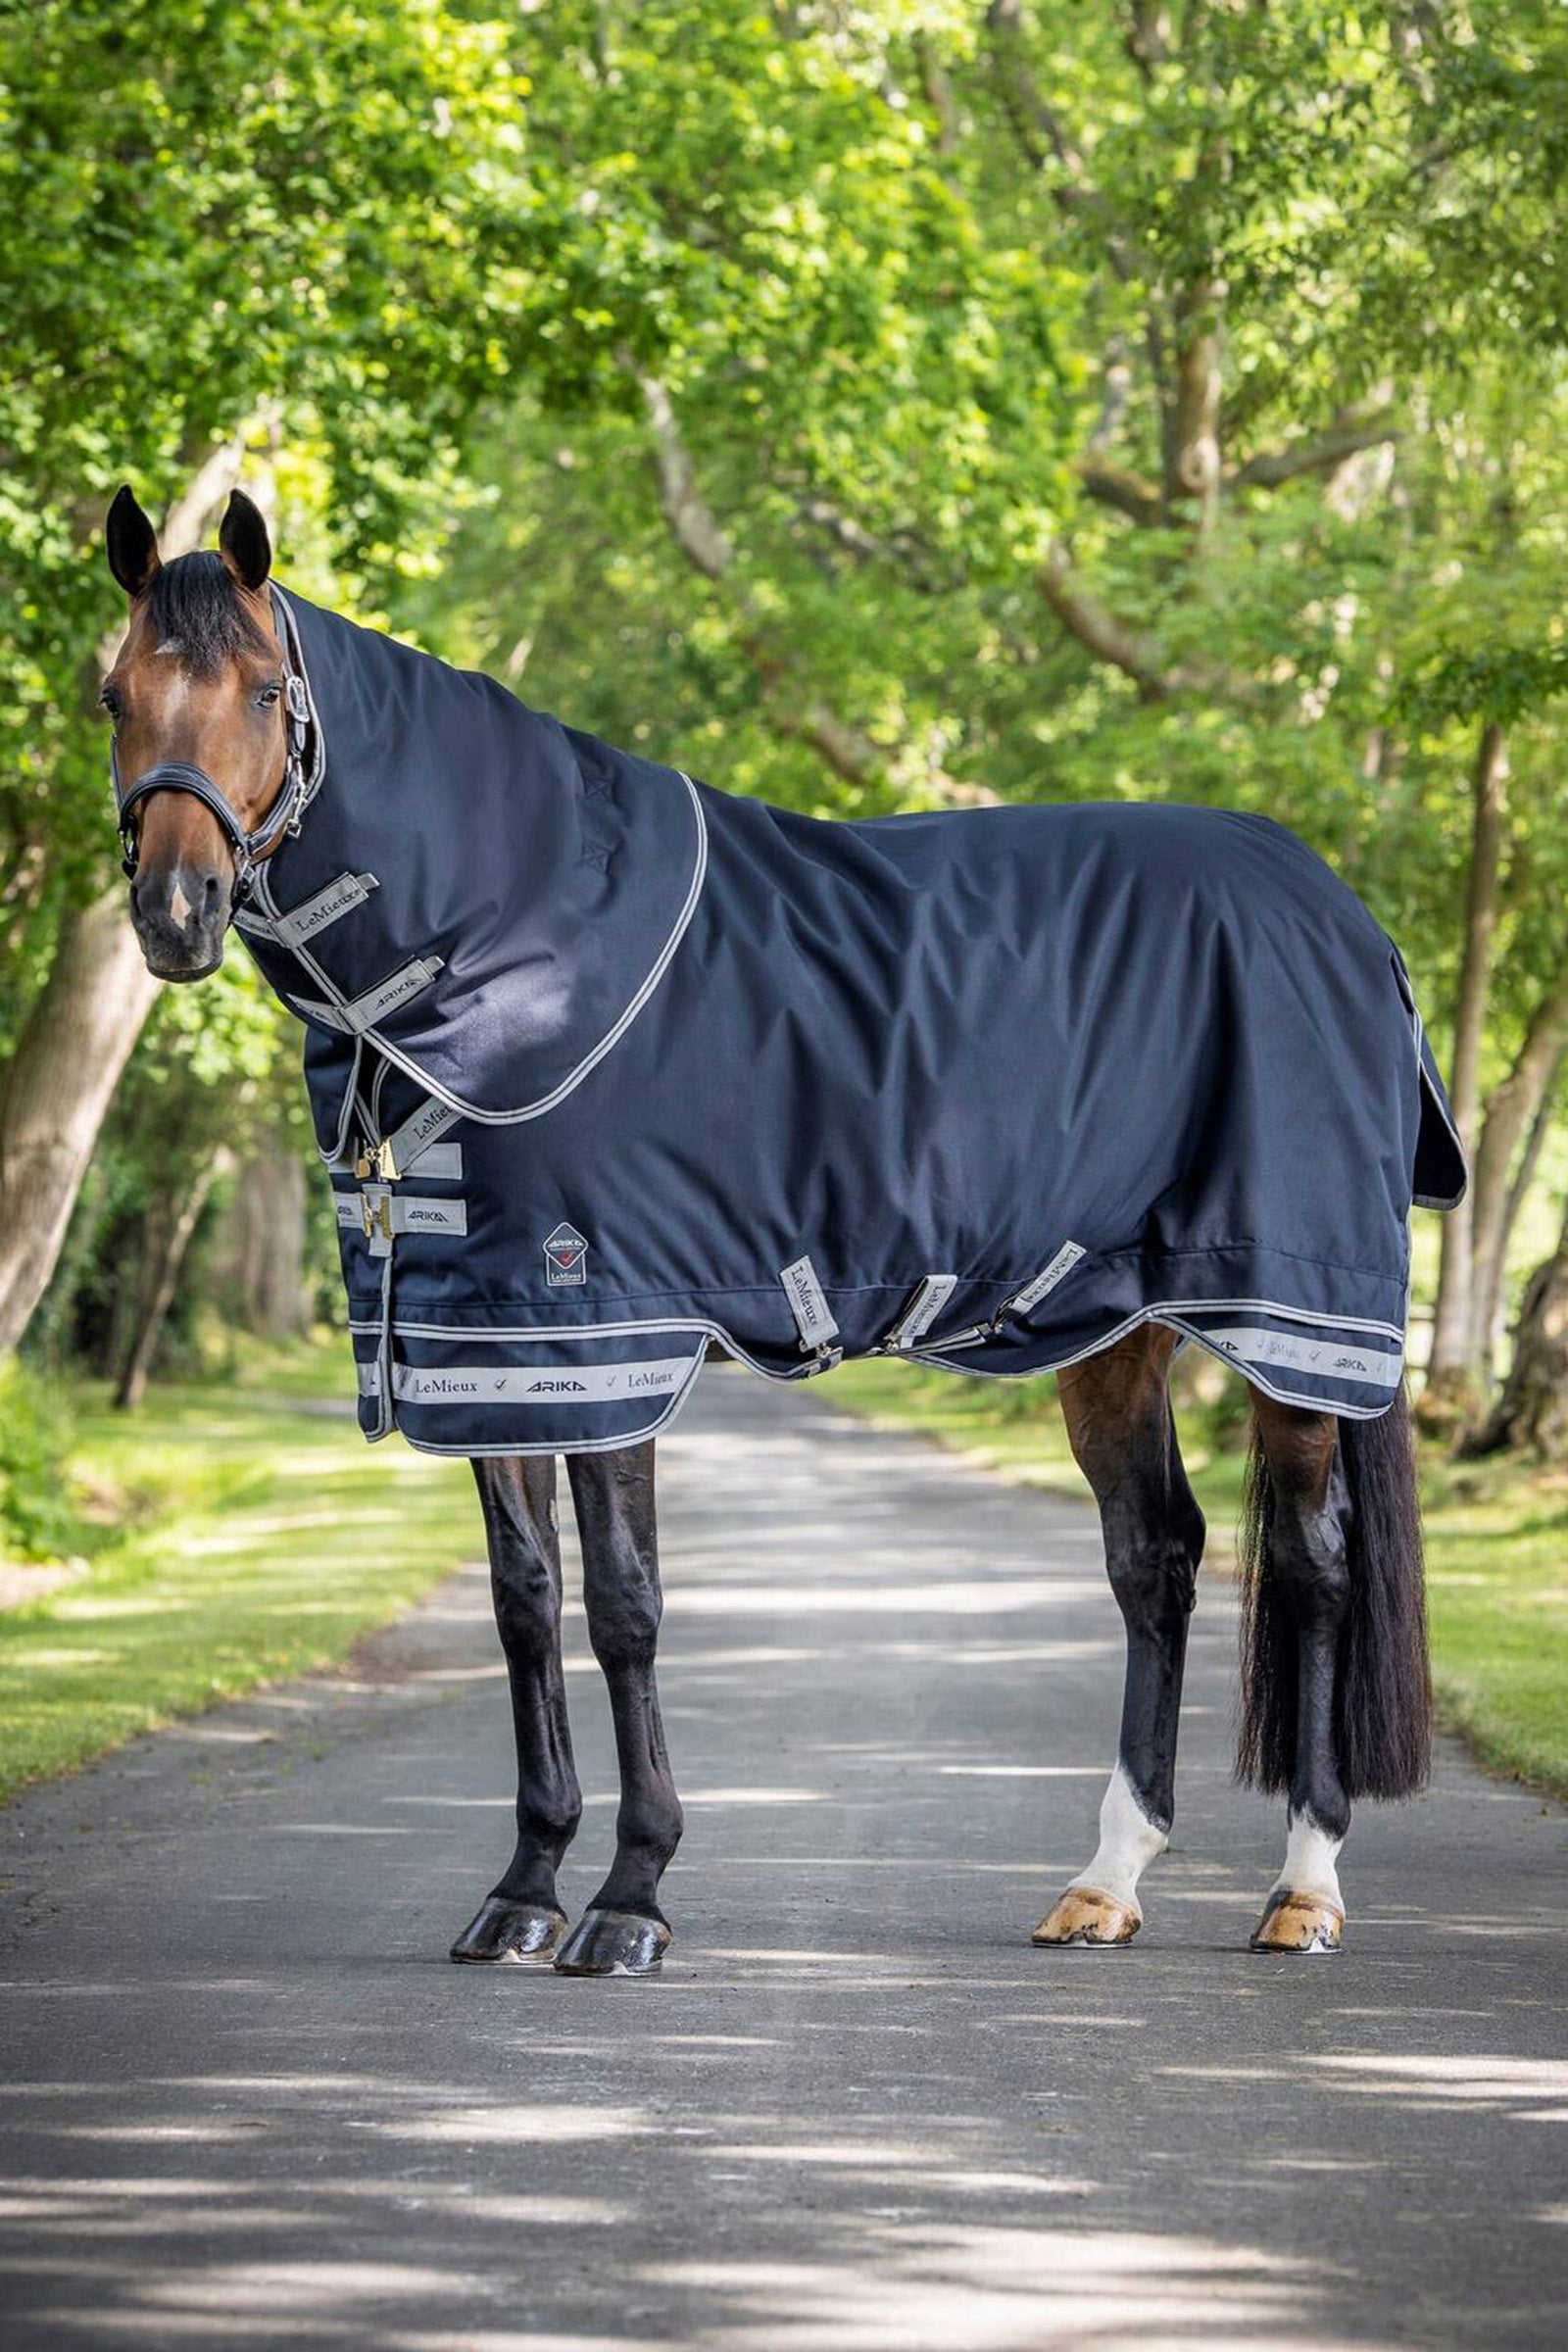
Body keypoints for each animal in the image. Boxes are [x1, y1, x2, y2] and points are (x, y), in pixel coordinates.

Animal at [99, 484, 1457, 1974]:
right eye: (115, 695)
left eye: (263, 688)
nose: (173, 915)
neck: (506, 941)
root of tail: (1345, 918)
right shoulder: (486, 1348)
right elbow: (523, 1606)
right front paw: (523, 1891)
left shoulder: (607, 1338)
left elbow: (623, 1607)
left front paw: (629, 1901)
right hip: (1118, 1329)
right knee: (1153, 1562)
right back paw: (1106, 1882)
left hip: (1290, 1325)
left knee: (1316, 1567)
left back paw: (1302, 1891)